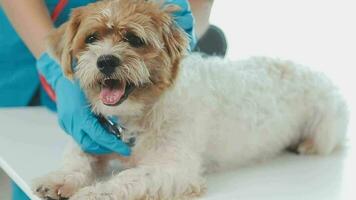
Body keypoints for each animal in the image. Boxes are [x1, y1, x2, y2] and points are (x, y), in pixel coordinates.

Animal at [32, 0, 348, 200]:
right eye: (92, 38)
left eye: (134, 39)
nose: (106, 61)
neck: (140, 113)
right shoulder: (92, 138)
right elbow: (76, 159)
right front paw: (59, 179)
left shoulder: (173, 169)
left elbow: (127, 179)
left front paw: (96, 192)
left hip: (325, 127)